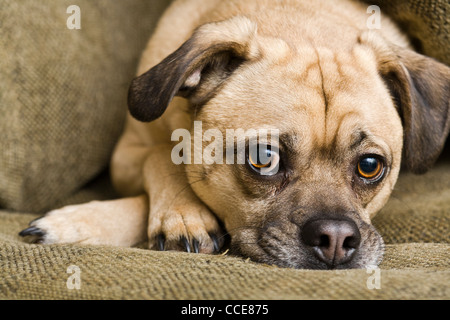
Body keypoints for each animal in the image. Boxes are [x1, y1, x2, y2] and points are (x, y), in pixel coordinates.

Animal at [20, 0, 450, 270]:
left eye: (370, 166)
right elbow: (161, 156)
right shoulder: (127, 154)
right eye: (265, 158)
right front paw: (185, 214)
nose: (336, 238)